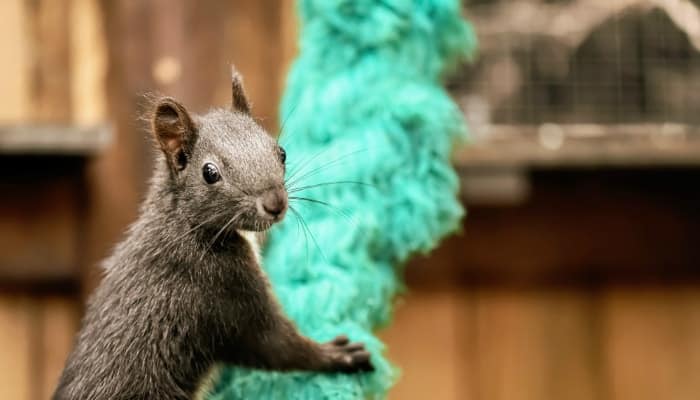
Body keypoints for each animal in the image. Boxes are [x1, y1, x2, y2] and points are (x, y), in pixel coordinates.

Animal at [54, 69, 372, 400]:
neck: (187, 226)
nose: (275, 204)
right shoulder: (225, 293)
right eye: (209, 173)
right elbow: (279, 346)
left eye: (281, 152)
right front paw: (336, 355)